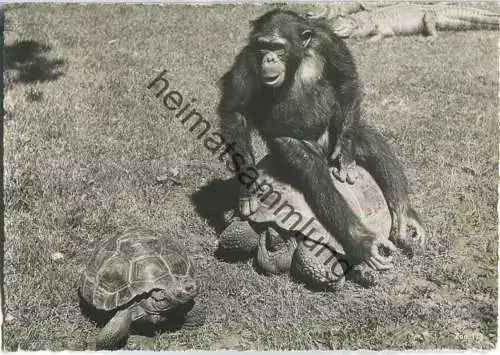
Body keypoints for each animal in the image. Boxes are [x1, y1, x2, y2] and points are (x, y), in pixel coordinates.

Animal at [217, 8, 424, 272]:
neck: (297, 59)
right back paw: (363, 242)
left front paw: (345, 155)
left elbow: (346, 78)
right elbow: (235, 110)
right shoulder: (248, 58)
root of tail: (324, 149)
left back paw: (403, 215)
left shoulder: (328, 40)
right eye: (264, 46)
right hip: (296, 146)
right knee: (314, 173)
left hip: (337, 132)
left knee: (367, 139)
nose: (269, 59)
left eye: (278, 47)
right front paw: (248, 189)